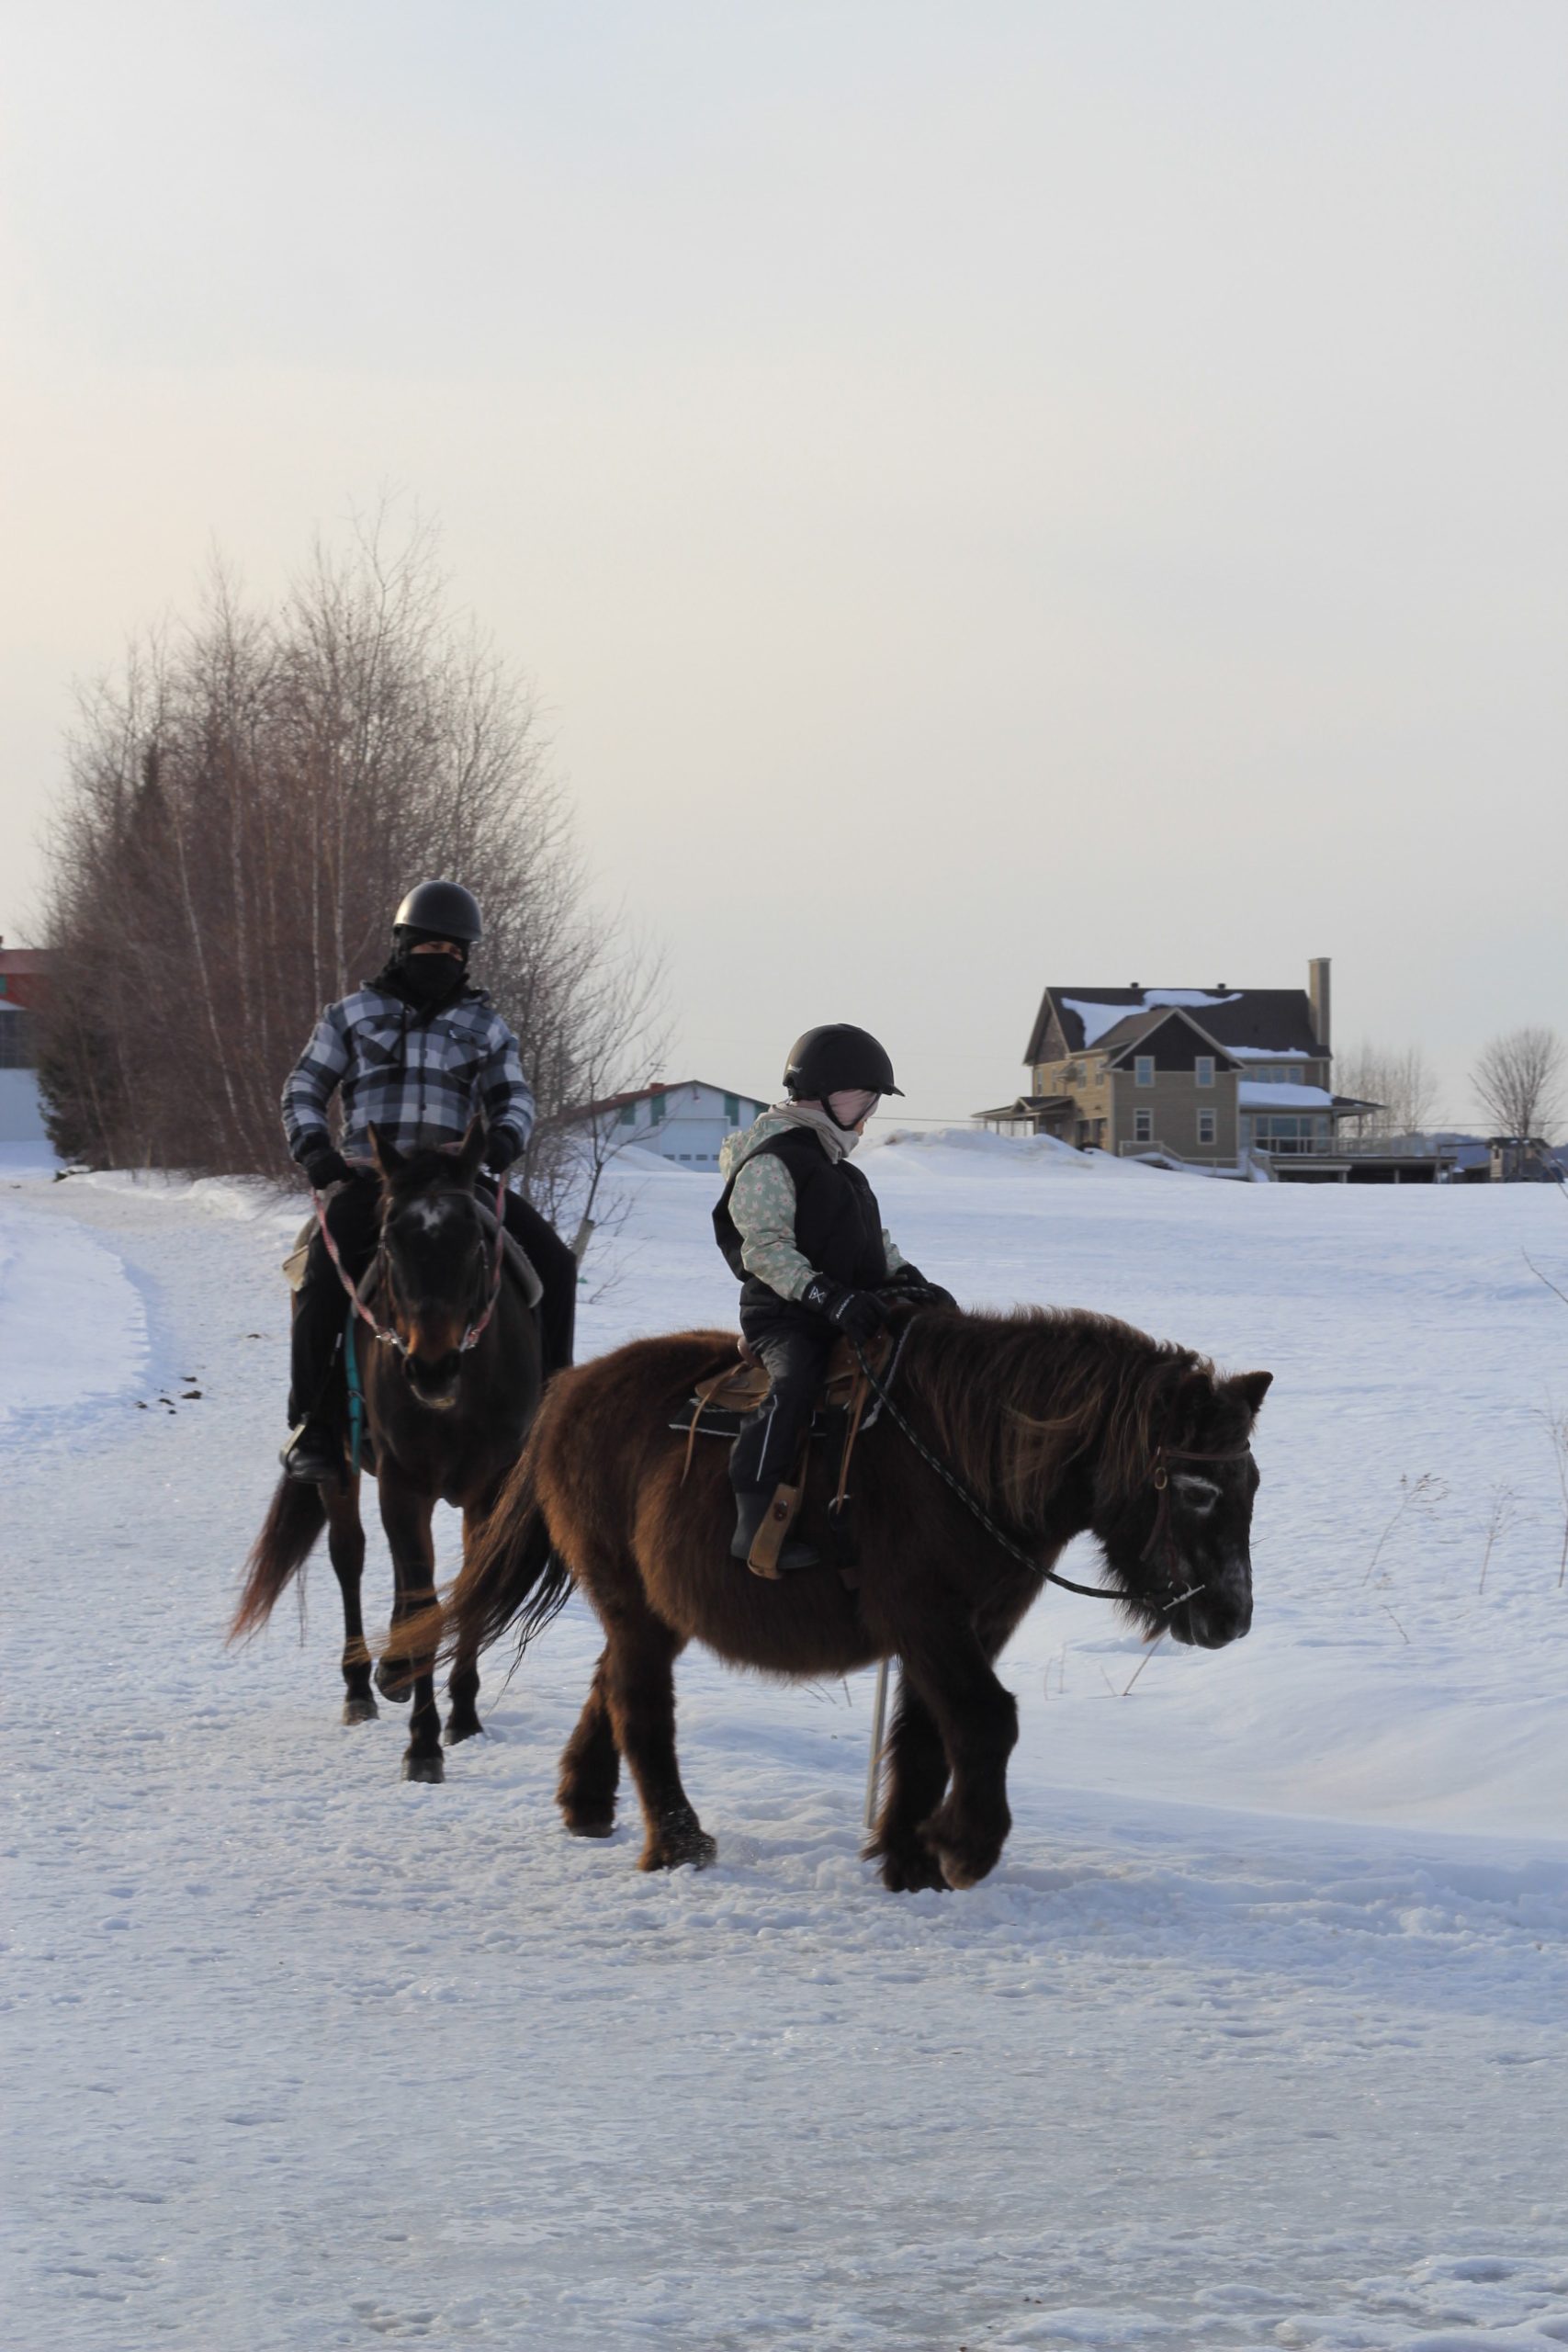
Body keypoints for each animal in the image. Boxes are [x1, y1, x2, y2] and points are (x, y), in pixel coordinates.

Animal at [230, 1119, 545, 1781]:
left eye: (474, 1244)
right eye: (391, 1244)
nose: (430, 1368)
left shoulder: (488, 1488)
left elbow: (465, 1589)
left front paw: (463, 1718)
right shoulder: (404, 1482)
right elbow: (420, 1596)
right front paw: (422, 1745)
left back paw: (393, 1672)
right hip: (343, 1470)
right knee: (350, 1557)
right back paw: (361, 1687)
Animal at [432, 1304, 1271, 1887]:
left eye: (1251, 1483)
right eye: (1197, 1489)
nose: (1230, 1618)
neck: (962, 1461)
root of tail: (570, 1390)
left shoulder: (971, 1627)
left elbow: (927, 1736)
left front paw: (909, 1858)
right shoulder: (927, 1621)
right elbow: (985, 1721)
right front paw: (962, 1848)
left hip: (656, 1610)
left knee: (609, 1681)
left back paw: (587, 1803)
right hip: (630, 1599)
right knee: (640, 1706)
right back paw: (678, 1843)